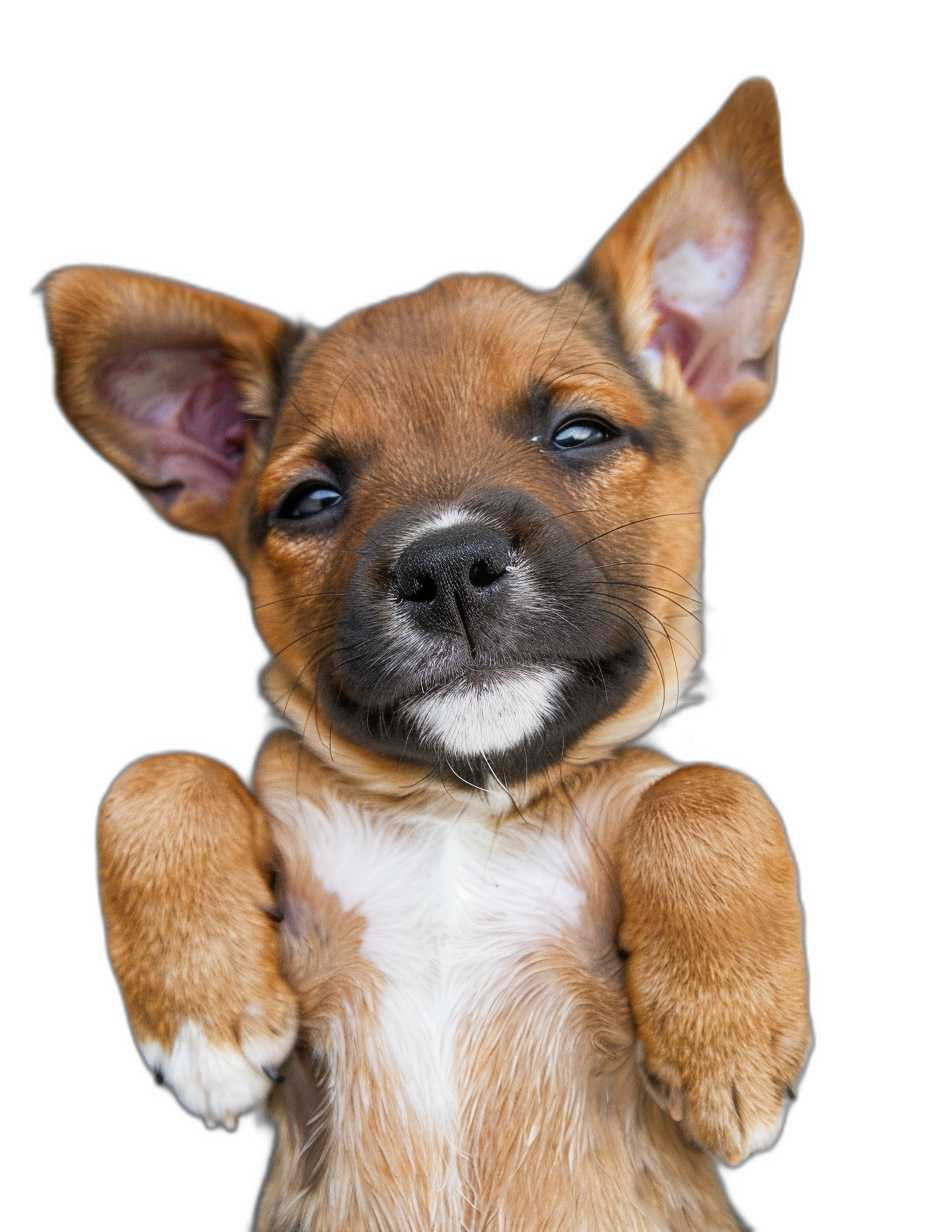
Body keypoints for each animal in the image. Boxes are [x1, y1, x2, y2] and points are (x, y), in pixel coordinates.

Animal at [43, 79, 808, 1232]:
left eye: (580, 433)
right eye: (312, 500)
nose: (447, 565)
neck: (464, 812)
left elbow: (706, 787)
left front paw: (729, 1041)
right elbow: (151, 772)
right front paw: (202, 1017)